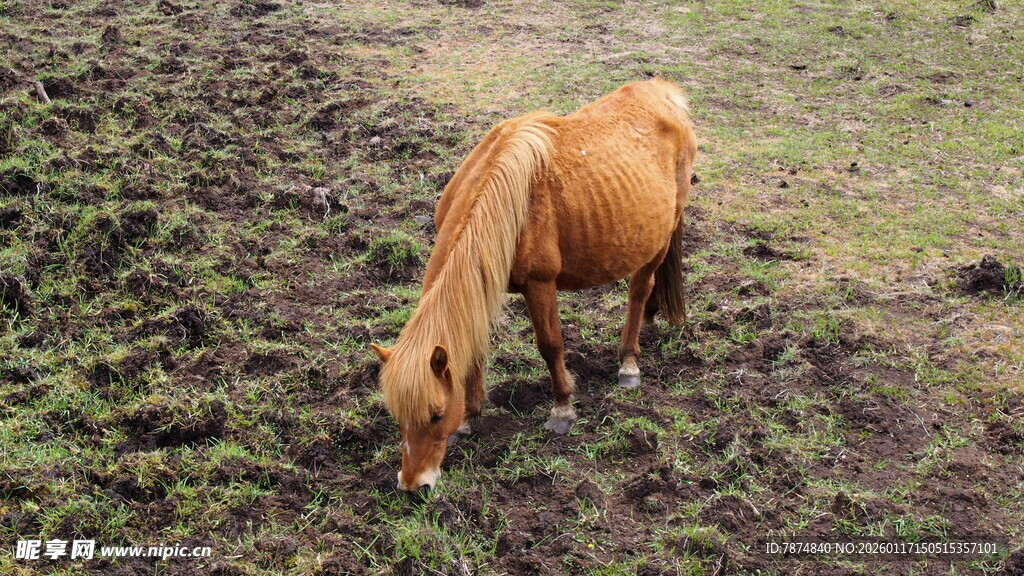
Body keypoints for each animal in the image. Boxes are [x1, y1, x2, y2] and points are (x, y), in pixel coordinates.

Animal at [371, 78, 697, 492]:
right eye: (397, 416)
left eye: (436, 414)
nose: (414, 486)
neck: (500, 198)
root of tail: (663, 93)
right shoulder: (484, 284)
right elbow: (474, 350)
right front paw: (470, 417)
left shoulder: (540, 285)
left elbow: (550, 346)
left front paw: (563, 408)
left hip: (660, 237)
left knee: (638, 291)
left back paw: (628, 362)